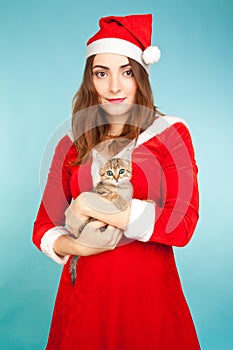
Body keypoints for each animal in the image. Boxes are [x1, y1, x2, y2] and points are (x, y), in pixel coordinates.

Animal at [68, 156, 133, 284]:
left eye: (122, 171)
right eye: (109, 173)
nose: (116, 178)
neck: (121, 188)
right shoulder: (101, 193)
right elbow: (113, 194)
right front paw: (122, 202)